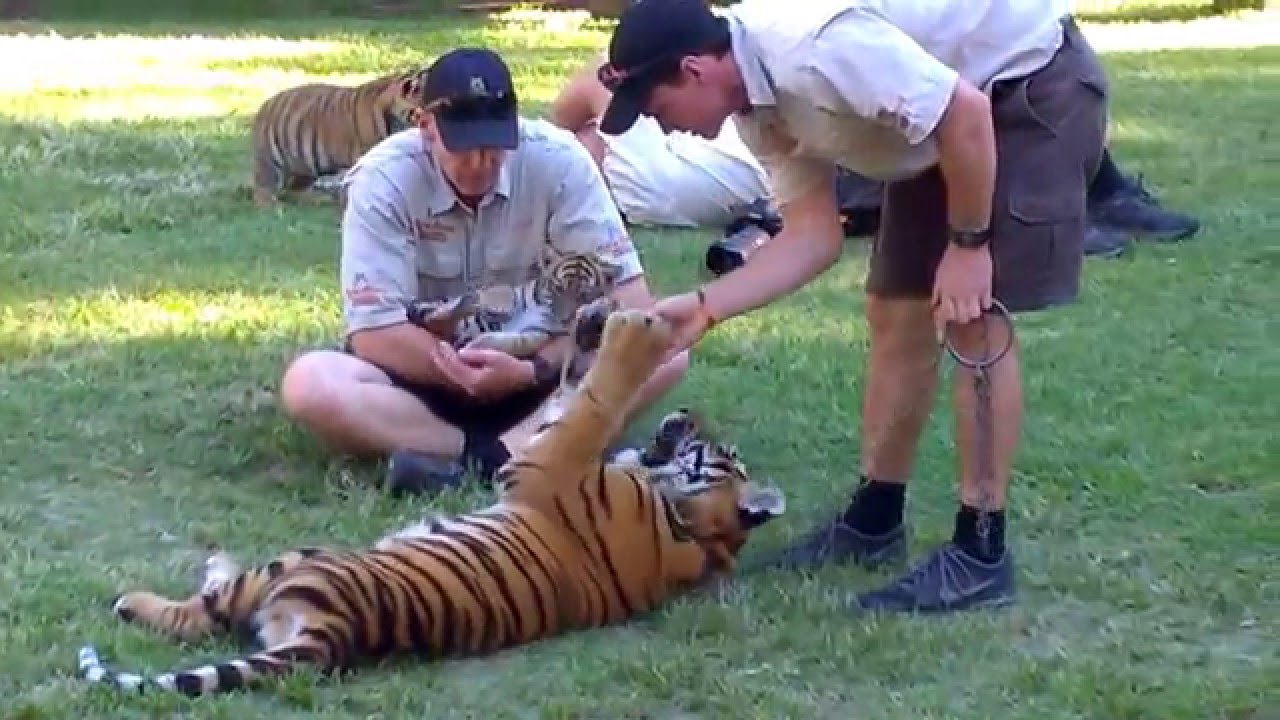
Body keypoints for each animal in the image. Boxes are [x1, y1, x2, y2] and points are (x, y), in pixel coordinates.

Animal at [76, 307, 786, 698]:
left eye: (716, 448)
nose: (686, 419)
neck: (687, 523)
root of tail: (334, 639)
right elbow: (571, 392)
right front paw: (590, 328)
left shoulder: (550, 462)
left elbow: (594, 401)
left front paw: (631, 334)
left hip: (297, 559)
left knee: (201, 613)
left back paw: (151, 593)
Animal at [249, 69, 424, 208]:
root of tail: (265, 105)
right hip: (270, 161)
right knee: (263, 189)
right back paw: (273, 206)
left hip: (304, 165)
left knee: (295, 190)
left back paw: (319, 200)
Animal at [406, 247, 626, 359]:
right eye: (558, 289)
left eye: (583, 296)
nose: (563, 318)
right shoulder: (511, 290)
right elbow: (503, 293)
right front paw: (497, 306)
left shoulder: (535, 332)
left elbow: (512, 343)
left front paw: (477, 345)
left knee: (437, 322)